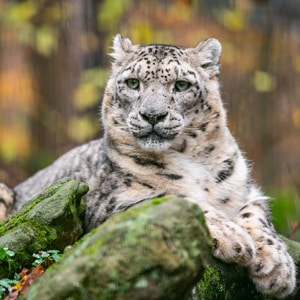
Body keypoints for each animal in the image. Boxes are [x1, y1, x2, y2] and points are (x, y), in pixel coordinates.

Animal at [0, 34, 296, 298]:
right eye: (133, 83)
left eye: (181, 85)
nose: (153, 115)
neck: (192, 160)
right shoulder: (111, 203)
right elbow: (172, 198)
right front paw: (234, 239)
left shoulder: (246, 190)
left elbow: (256, 216)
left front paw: (277, 269)